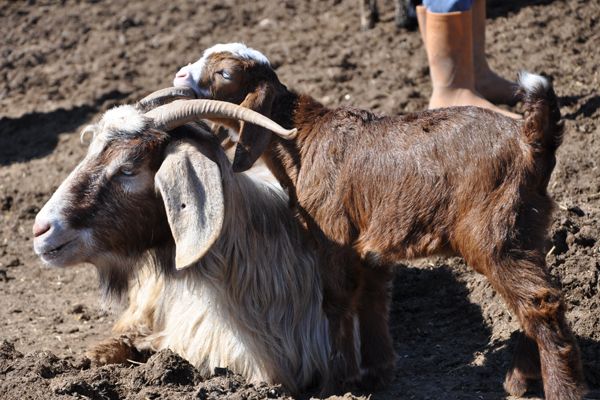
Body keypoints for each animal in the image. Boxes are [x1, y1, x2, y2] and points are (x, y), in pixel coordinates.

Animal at [173, 42, 584, 398]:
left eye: (224, 73)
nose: (179, 77)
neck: (303, 139)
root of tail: (530, 138)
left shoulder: (333, 236)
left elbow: (337, 301)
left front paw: (336, 383)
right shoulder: (368, 241)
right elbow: (372, 298)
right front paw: (377, 374)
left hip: (494, 233)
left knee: (541, 302)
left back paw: (560, 390)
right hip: (529, 225)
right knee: (539, 297)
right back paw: (520, 379)